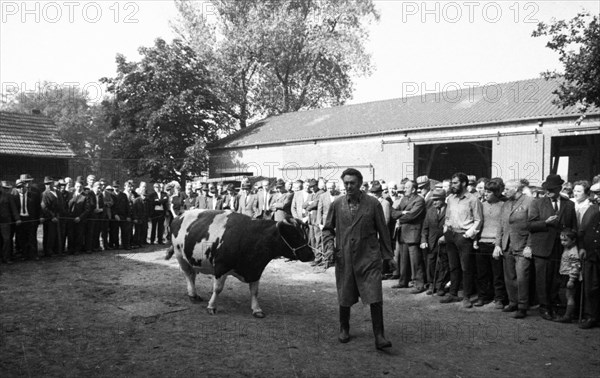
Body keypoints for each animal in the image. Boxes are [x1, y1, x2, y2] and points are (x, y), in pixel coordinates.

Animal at [165, 208, 314, 318]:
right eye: (294, 235)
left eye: (304, 233)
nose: (311, 254)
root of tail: (181, 214)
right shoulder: (221, 267)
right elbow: (217, 288)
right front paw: (211, 306)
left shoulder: (256, 270)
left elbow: (254, 291)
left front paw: (257, 309)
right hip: (180, 255)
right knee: (188, 274)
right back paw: (192, 295)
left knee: (192, 274)